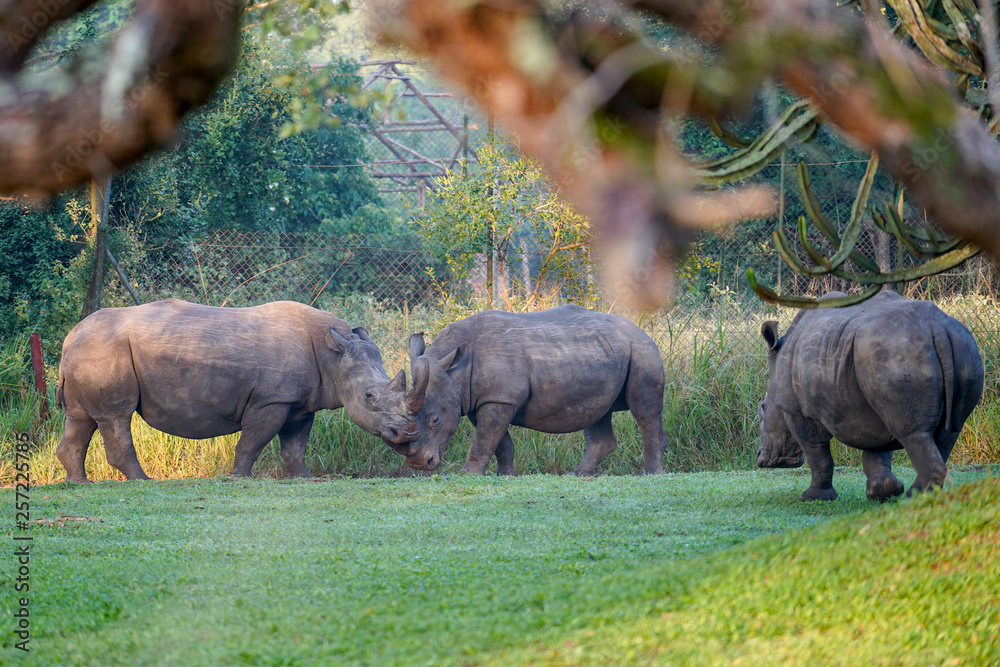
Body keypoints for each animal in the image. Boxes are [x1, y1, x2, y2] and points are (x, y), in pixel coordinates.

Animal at [56, 299, 423, 482]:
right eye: (369, 397)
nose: (410, 434)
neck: (333, 353)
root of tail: (71, 335)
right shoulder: (272, 400)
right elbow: (253, 441)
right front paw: (240, 478)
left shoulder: (301, 402)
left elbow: (295, 446)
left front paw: (303, 478)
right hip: (103, 351)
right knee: (115, 417)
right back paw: (141, 481)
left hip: (90, 351)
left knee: (81, 419)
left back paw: (79, 483)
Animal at [382, 304, 669, 476]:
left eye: (435, 420)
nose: (420, 465)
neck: (455, 371)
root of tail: (640, 329)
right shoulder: (484, 399)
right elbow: (498, 442)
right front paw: (506, 476)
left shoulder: (500, 399)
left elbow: (483, 440)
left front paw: (467, 475)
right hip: (603, 353)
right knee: (597, 412)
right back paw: (579, 476)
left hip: (642, 351)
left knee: (644, 411)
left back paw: (650, 474)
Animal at [758, 291, 984, 501]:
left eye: (762, 408)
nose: (763, 459)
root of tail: (937, 327)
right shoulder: (872, 407)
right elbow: (877, 450)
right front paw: (882, 491)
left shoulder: (796, 410)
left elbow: (817, 453)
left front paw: (812, 497)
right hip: (962, 350)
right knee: (948, 431)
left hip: (897, 353)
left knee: (913, 433)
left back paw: (912, 498)